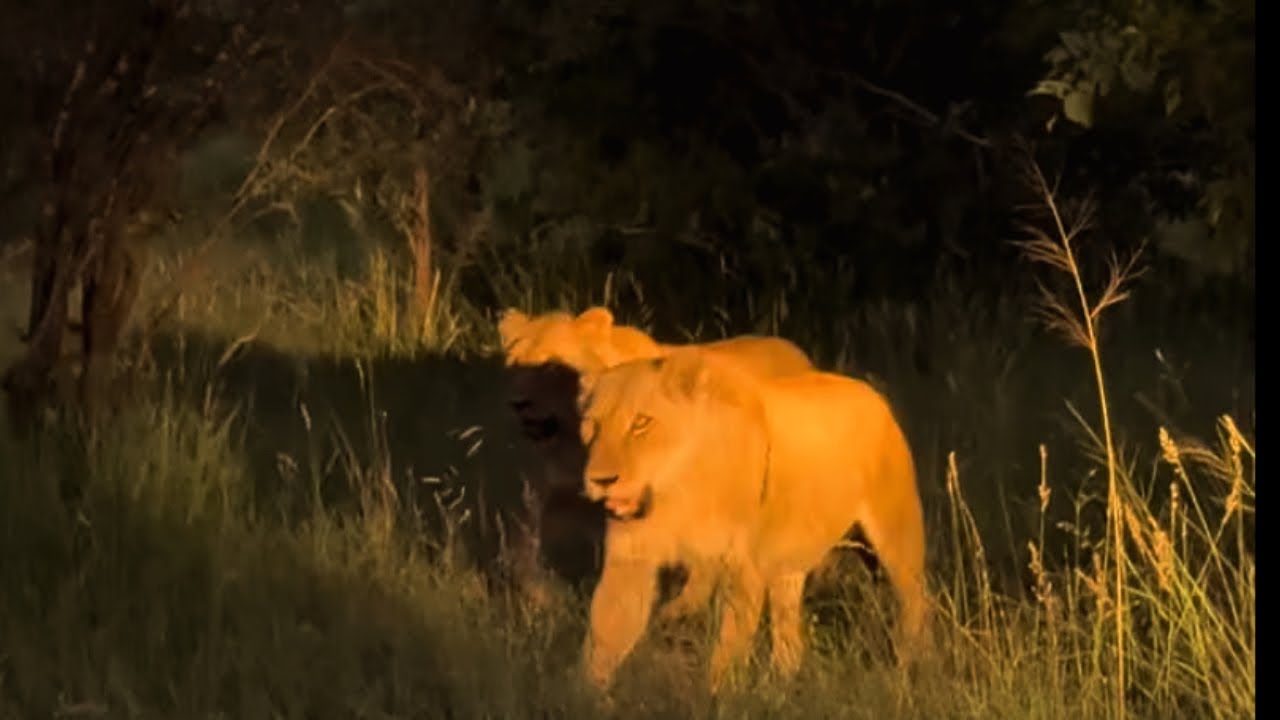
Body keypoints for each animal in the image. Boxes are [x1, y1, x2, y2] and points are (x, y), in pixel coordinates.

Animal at [496, 306, 815, 616]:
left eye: (550, 365)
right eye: (513, 365)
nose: (515, 403)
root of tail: (798, 353)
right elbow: (521, 556)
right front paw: (551, 599)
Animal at [576, 347, 928, 693]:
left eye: (641, 423)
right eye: (592, 425)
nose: (601, 480)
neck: (675, 493)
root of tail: (870, 392)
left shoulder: (743, 569)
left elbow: (727, 650)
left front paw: (714, 697)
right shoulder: (629, 562)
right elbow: (605, 635)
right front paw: (587, 696)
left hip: (898, 542)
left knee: (915, 603)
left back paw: (908, 671)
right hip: (788, 565)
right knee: (789, 637)